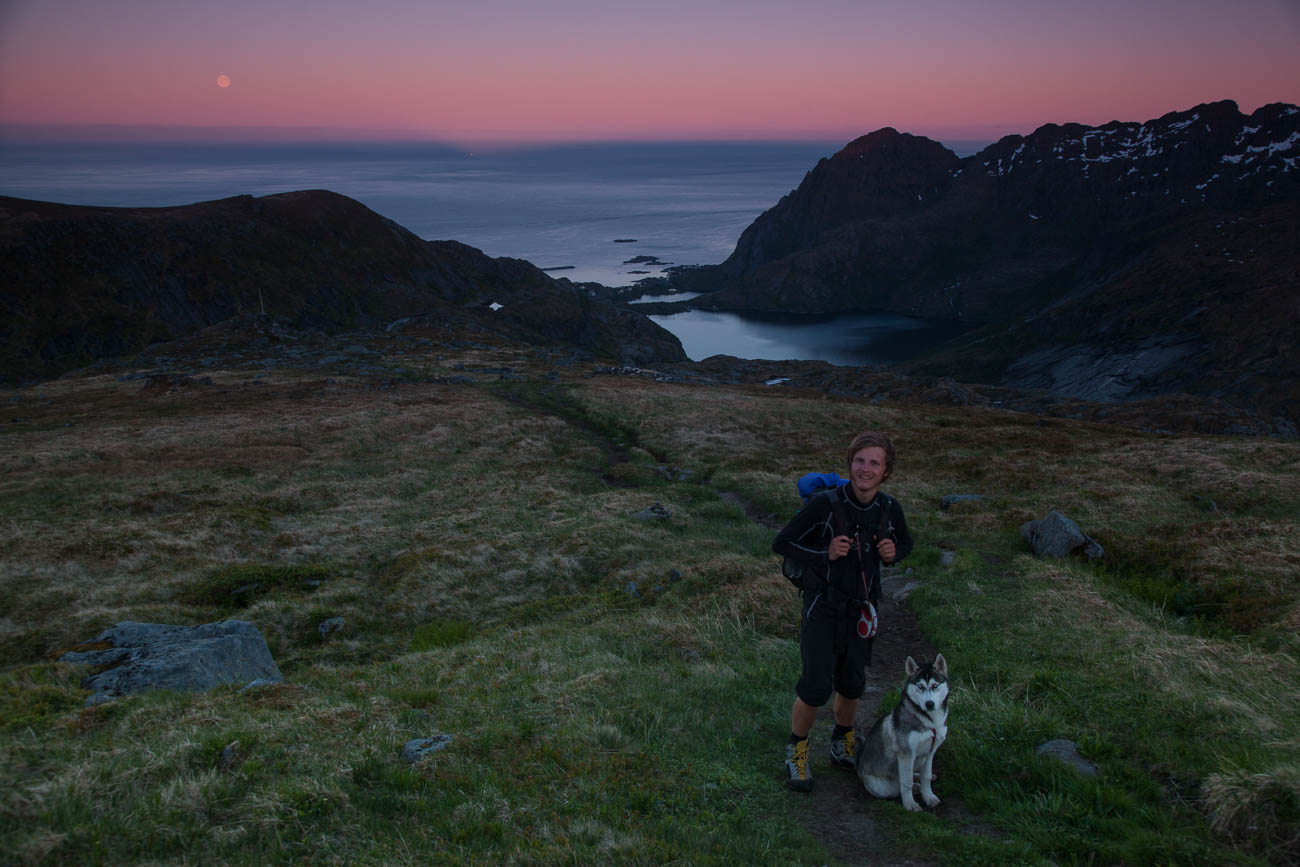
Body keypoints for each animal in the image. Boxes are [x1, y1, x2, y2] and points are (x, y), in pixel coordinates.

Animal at [857, 655, 951, 811]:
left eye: (935, 685)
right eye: (920, 686)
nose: (929, 704)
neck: (930, 722)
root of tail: (858, 767)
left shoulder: (930, 751)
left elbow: (926, 776)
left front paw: (929, 797)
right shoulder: (906, 753)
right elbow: (906, 782)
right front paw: (910, 804)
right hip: (884, 787)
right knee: (898, 786)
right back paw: (916, 787)